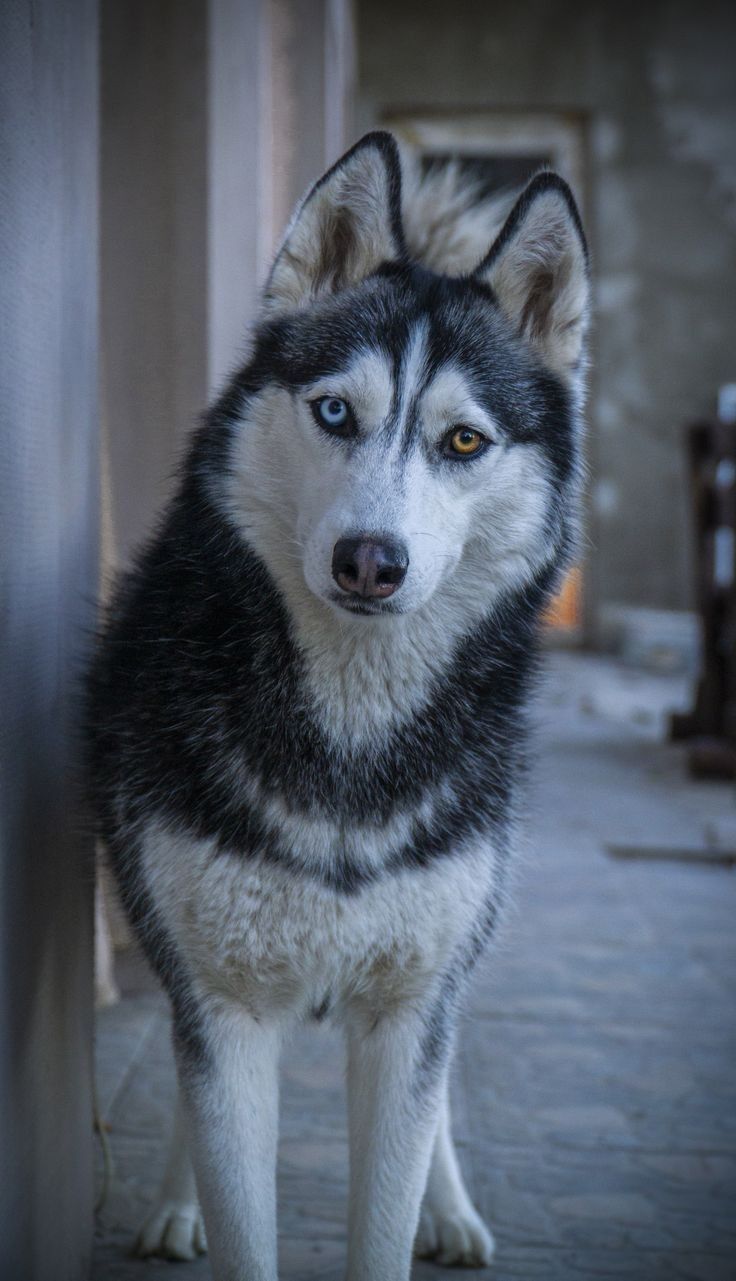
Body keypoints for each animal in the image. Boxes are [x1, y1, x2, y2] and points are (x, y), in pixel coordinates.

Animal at [86, 132, 591, 1281]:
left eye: (463, 442)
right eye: (333, 412)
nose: (371, 559)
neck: (350, 744)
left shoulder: (408, 1010)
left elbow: (389, 1203)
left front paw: (427, 1212)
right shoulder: (223, 1007)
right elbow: (234, 1190)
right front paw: (197, 1205)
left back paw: (453, 1212)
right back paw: (172, 1204)